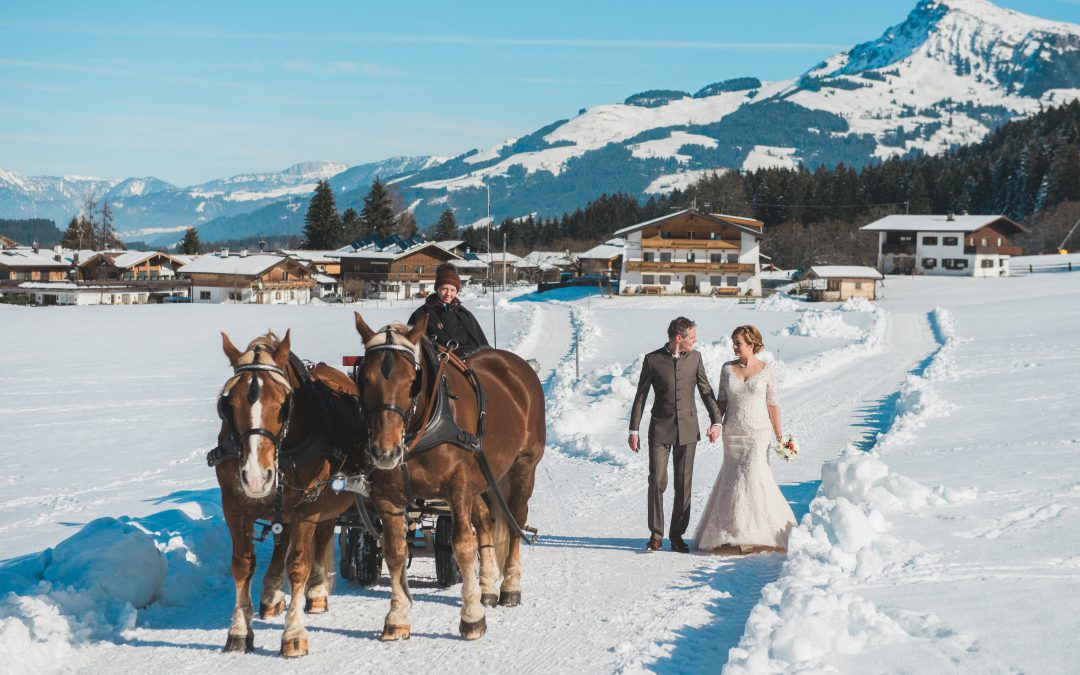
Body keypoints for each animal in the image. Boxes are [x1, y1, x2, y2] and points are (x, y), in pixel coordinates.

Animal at [214, 328, 367, 656]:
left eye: (284, 402)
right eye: (227, 404)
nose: (256, 477)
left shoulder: (308, 507)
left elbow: (298, 565)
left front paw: (294, 634)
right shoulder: (234, 505)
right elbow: (242, 564)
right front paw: (239, 631)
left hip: (325, 501)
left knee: (321, 537)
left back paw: (317, 591)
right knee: (282, 539)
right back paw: (272, 595)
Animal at [352, 313, 544, 639]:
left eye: (411, 381)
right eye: (365, 378)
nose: (385, 452)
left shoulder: (458, 487)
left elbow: (463, 545)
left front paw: (471, 618)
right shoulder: (387, 498)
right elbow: (394, 550)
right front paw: (397, 618)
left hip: (523, 466)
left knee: (515, 519)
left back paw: (510, 587)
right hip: (482, 480)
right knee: (485, 522)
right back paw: (487, 588)